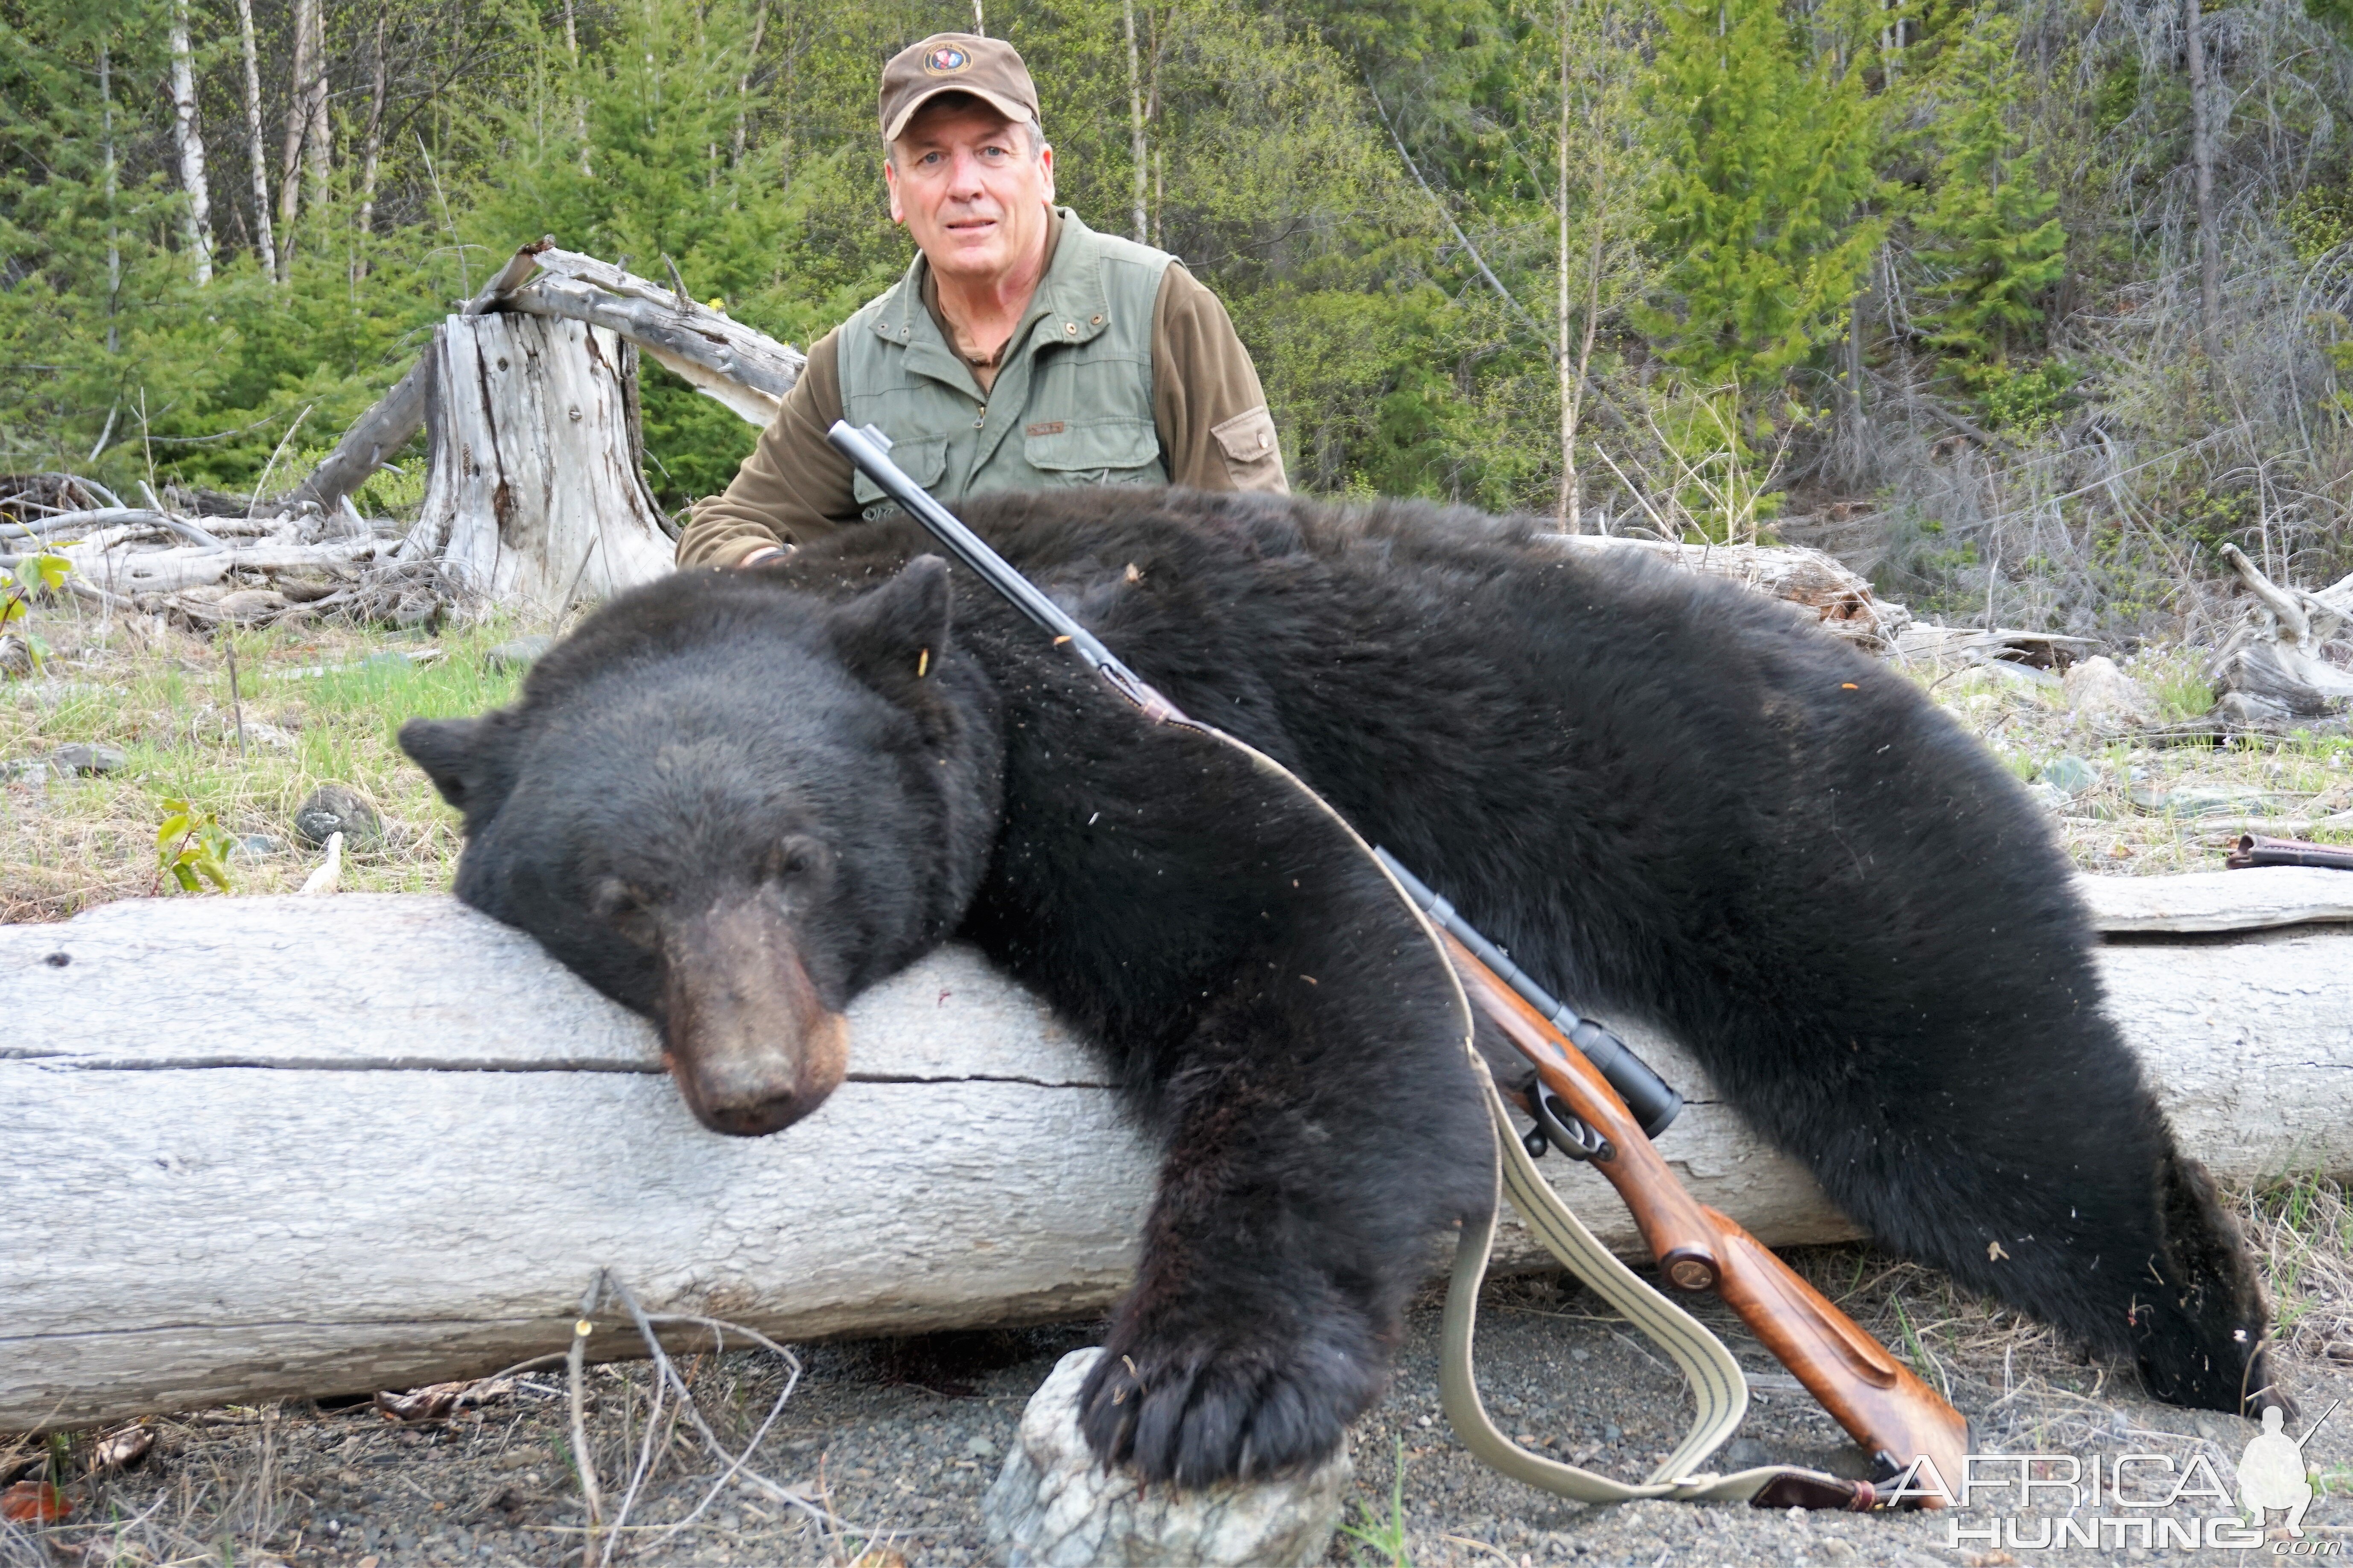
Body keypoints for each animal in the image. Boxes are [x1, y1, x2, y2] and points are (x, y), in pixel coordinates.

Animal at [400, 487, 2277, 1486]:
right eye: (617, 900)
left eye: (795, 858)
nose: (758, 1084)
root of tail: (1887, 673)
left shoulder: (1105, 727)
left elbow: (1315, 954)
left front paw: (1201, 1384)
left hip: (1816, 845)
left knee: (1987, 1087)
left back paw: (2210, 1332)